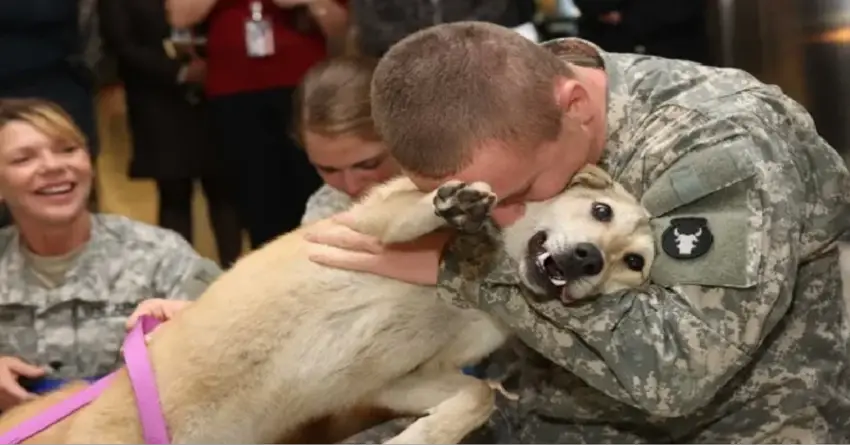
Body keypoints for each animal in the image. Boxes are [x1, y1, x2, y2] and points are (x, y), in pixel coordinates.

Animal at [0, 166, 652, 444]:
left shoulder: (401, 379)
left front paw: (420, 438)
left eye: (635, 263)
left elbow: (477, 397)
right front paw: (453, 205)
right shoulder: (366, 226)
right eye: (600, 212)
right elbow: (412, 211)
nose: (589, 260)